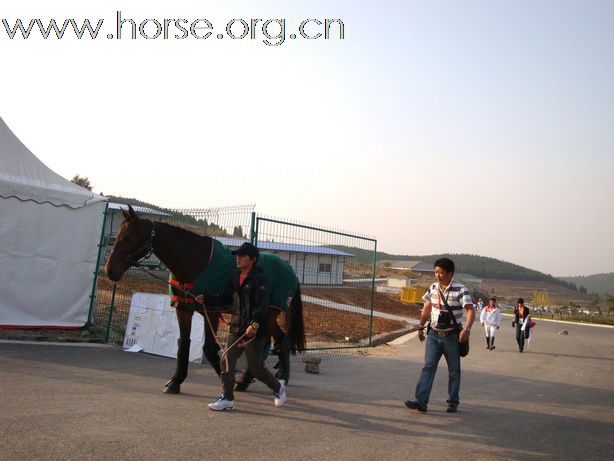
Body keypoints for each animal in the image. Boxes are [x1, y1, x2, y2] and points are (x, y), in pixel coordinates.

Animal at [107, 205, 308, 392]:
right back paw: (247, 380)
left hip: (268, 312)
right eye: (117, 236)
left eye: (127, 237)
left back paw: (280, 377)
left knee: (280, 342)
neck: (195, 262)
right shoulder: (183, 309)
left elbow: (210, 348)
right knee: (269, 343)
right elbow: (184, 344)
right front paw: (176, 382)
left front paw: (225, 376)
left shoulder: (211, 311)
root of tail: (290, 271)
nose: (110, 271)